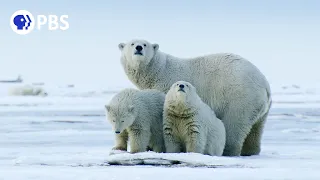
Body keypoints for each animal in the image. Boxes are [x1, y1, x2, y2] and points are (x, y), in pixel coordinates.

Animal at [118, 39, 272, 156]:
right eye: (132, 43)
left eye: (145, 44)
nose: (138, 48)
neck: (159, 70)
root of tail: (264, 84)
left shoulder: (166, 87)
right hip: (260, 108)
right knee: (256, 130)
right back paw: (251, 151)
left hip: (240, 98)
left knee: (234, 124)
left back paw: (228, 151)